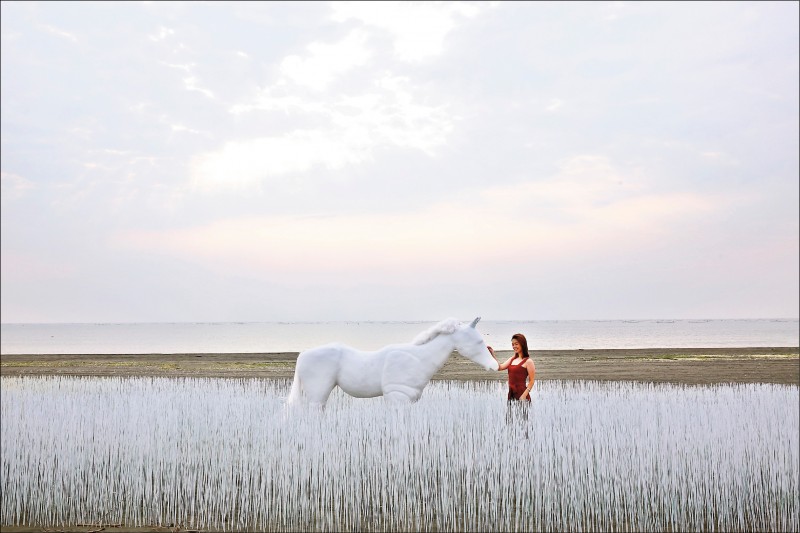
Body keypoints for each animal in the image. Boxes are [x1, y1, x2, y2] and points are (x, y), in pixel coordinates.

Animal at [288, 318, 496, 406]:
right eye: (479, 341)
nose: (494, 366)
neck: (418, 358)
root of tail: (303, 355)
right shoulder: (397, 397)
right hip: (318, 394)